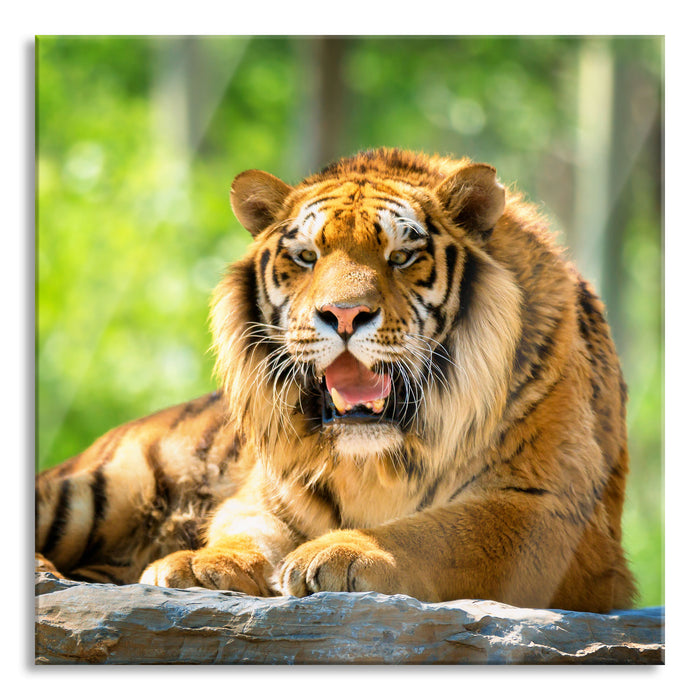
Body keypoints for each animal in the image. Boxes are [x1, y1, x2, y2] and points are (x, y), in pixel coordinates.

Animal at [35, 148, 636, 613]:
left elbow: (441, 532)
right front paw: (197, 564)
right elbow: (243, 531)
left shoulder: (549, 509)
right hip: (100, 487)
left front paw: (343, 553)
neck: (376, 461)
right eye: (306, 257)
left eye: (402, 256)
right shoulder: (266, 495)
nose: (344, 315)